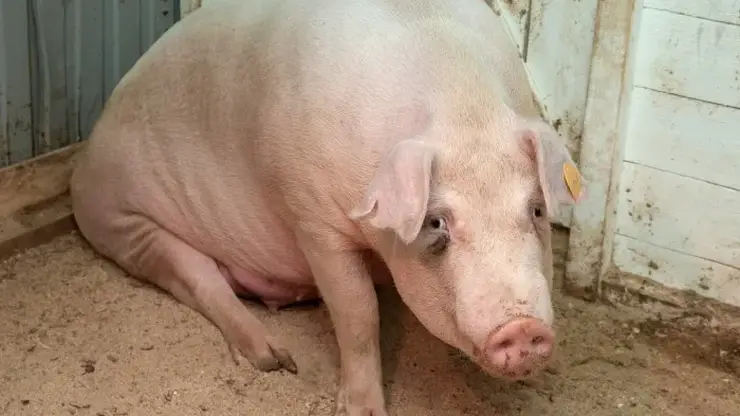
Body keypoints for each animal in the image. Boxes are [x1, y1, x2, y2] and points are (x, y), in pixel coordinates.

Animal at [70, 0, 586, 414]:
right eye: (437, 222)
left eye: (536, 211)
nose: (523, 328)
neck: (463, 109)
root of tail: (84, 160)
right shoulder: (312, 218)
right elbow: (358, 314)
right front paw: (361, 411)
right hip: (121, 221)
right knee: (198, 278)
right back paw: (276, 360)